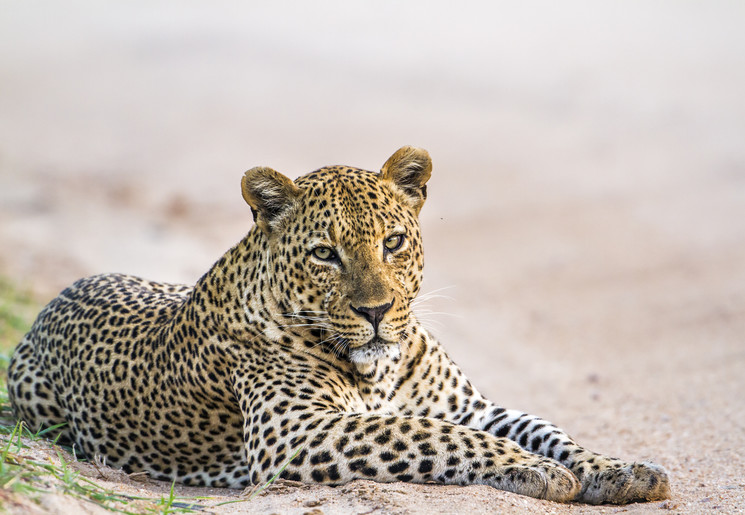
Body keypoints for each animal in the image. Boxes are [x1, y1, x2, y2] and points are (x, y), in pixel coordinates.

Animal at [5, 147, 672, 506]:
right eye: (326, 254)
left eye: (393, 242)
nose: (375, 312)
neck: (379, 370)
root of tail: (56, 297)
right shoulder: (296, 430)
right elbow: (428, 435)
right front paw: (539, 470)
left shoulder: (469, 406)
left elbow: (547, 429)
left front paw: (619, 470)